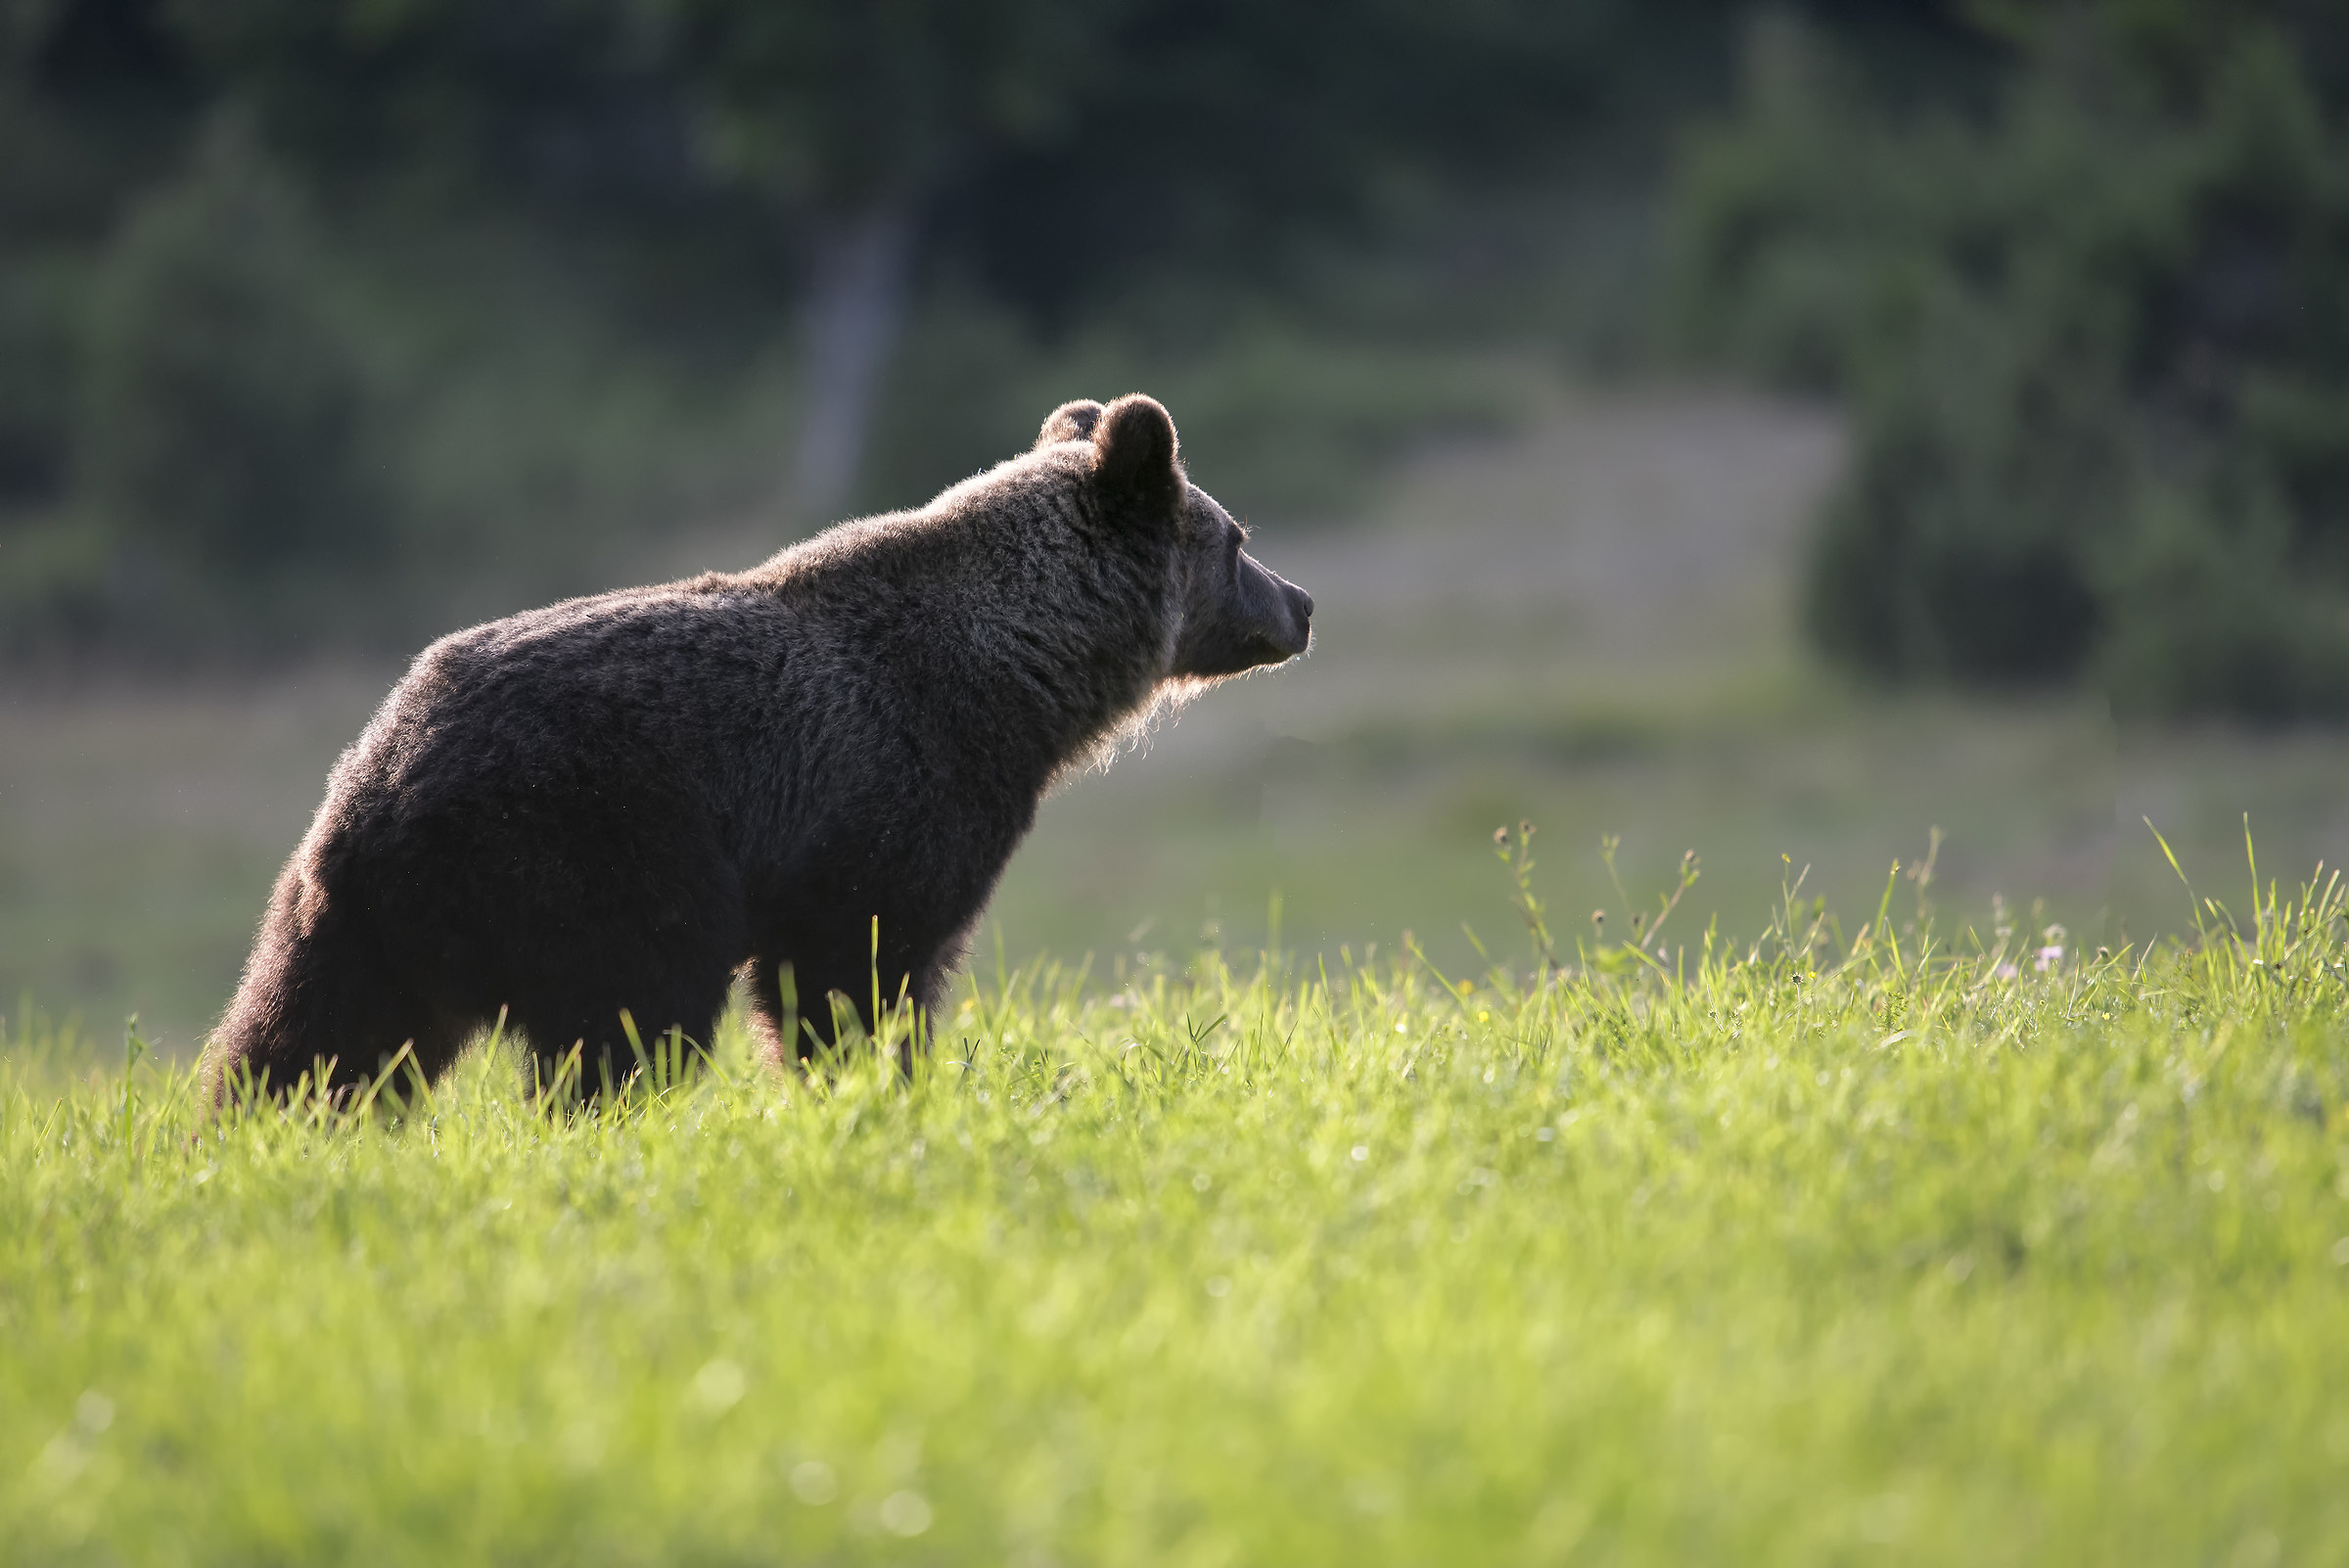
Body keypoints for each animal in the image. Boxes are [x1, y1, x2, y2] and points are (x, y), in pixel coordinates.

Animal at [201, 394, 1313, 1103]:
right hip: (598, 854)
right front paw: (882, 1089)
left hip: (359, 918)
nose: (1302, 605)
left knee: (316, 1040)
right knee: (629, 1023)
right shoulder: (891, 798)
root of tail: (383, 771)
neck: (1022, 682)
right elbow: (860, 971)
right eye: (1239, 539)